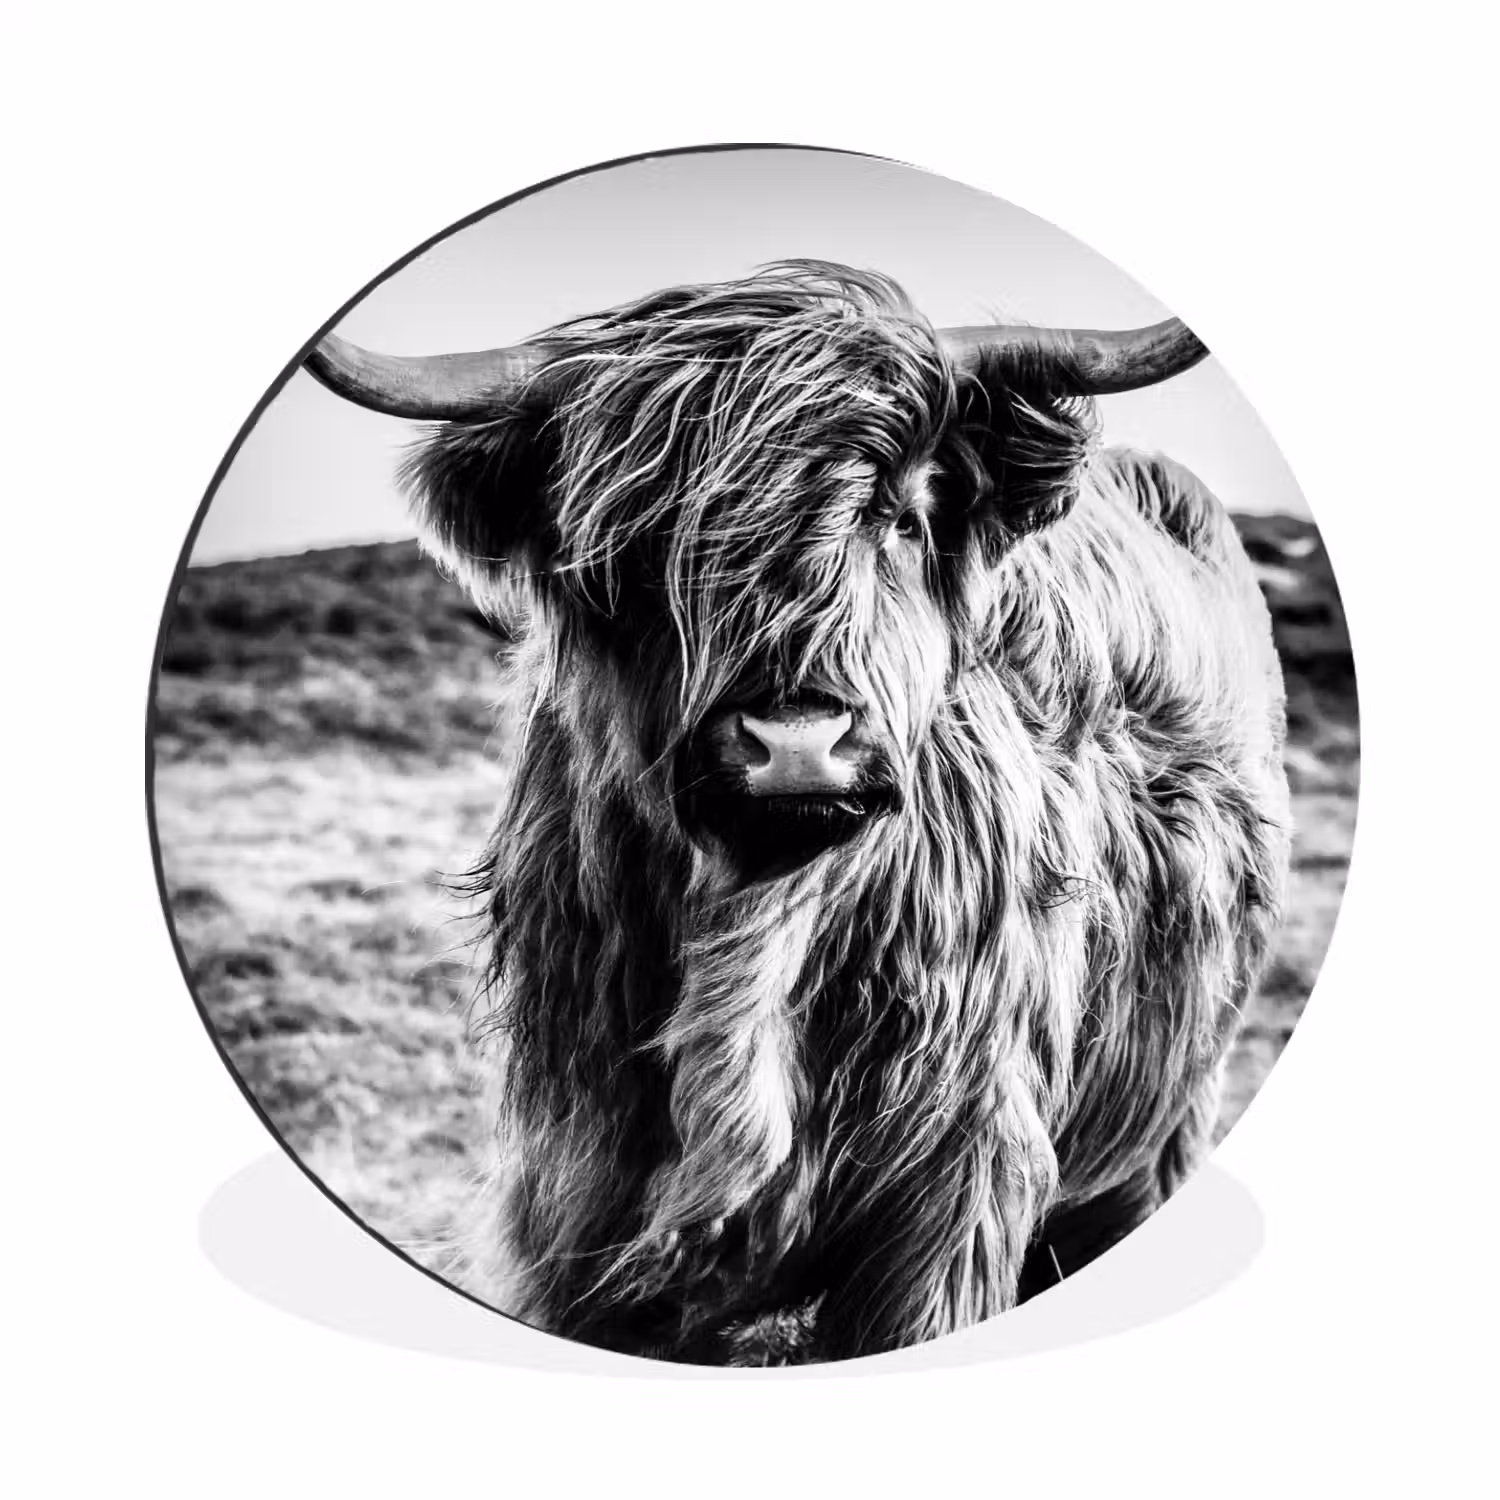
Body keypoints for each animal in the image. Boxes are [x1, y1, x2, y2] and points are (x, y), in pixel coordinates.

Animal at [306, 261, 1291, 1364]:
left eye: (901, 517)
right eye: (644, 546)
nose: (796, 742)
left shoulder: (952, 1193)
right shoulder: (578, 1198)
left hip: (1167, 1121)